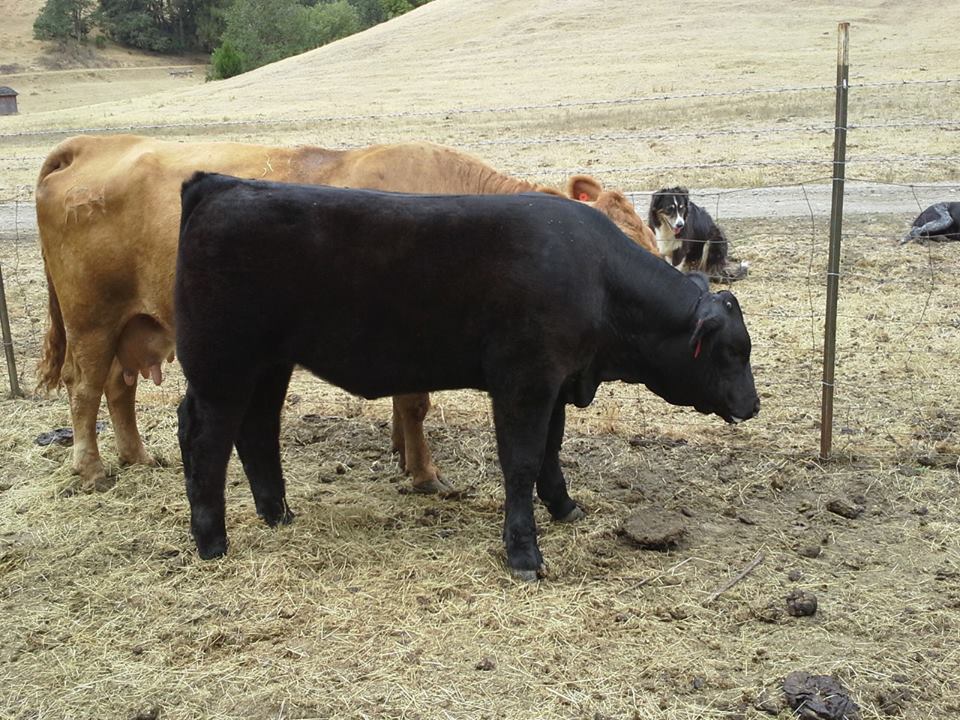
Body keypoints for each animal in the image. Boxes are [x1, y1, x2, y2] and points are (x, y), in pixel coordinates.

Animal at [34, 134, 660, 491]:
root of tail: (91, 145)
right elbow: (415, 405)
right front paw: (426, 475)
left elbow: (406, 407)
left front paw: (405, 458)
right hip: (92, 319)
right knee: (84, 389)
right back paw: (92, 470)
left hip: (130, 324)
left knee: (118, 389)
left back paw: (137, 457)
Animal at [175, 173, 760, 580]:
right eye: (732, 351)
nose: (753, 406)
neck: (595, 275)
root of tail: (219, 184)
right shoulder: (524, 384)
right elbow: (521, 463)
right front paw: (524, 552)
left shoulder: (554, 386)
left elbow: (549, 452)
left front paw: (565, 507)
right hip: (222, 367)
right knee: (206, 439)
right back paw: (212, 542)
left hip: (268, 366)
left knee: (257, 431)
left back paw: (278, 514)